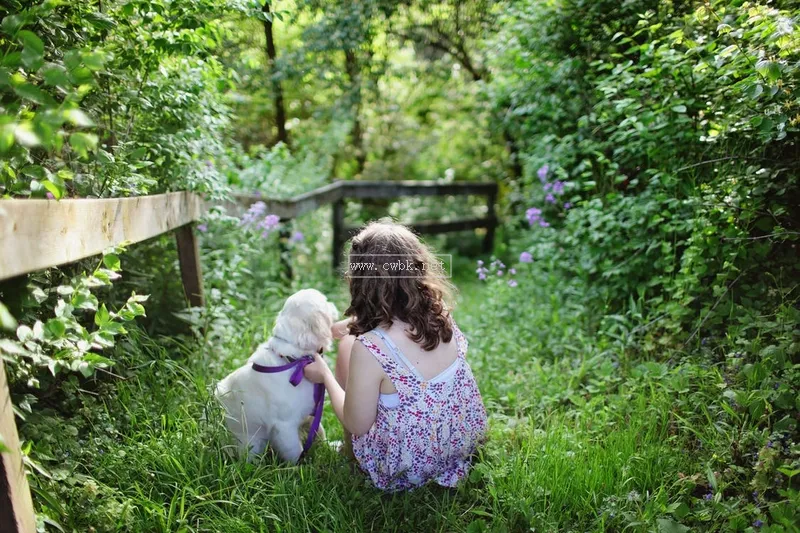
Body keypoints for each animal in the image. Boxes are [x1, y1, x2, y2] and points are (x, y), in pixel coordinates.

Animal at [214, 288, 336, 460]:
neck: (293, 360)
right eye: (325, 301)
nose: (333, 304)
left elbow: (319, 432)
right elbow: (295, 452)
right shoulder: (284, 426)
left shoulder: (310, 413)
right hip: (251, 443)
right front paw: (302, 465)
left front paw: (331, 447)